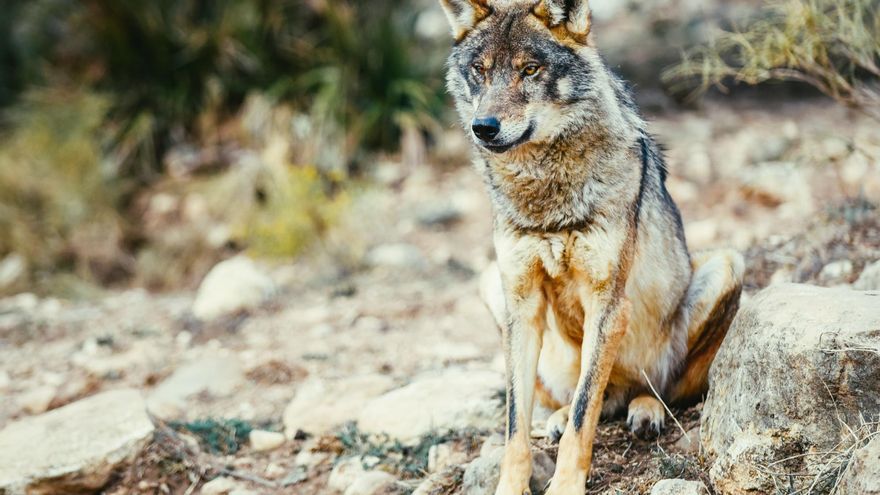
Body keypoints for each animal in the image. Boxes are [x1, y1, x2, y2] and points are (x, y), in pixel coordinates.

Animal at [437, 0, 744, 493]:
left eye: (530, 69)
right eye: (479, 71)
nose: (483, 127)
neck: (546, 196)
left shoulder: (608, 303)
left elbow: (586, 418)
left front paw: (565, 485)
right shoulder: (521, 303)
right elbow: (516, 426)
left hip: (727, 266)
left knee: (662, 389)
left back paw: (645, 409)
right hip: (493, 290)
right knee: (574, 399)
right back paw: (561, 415)